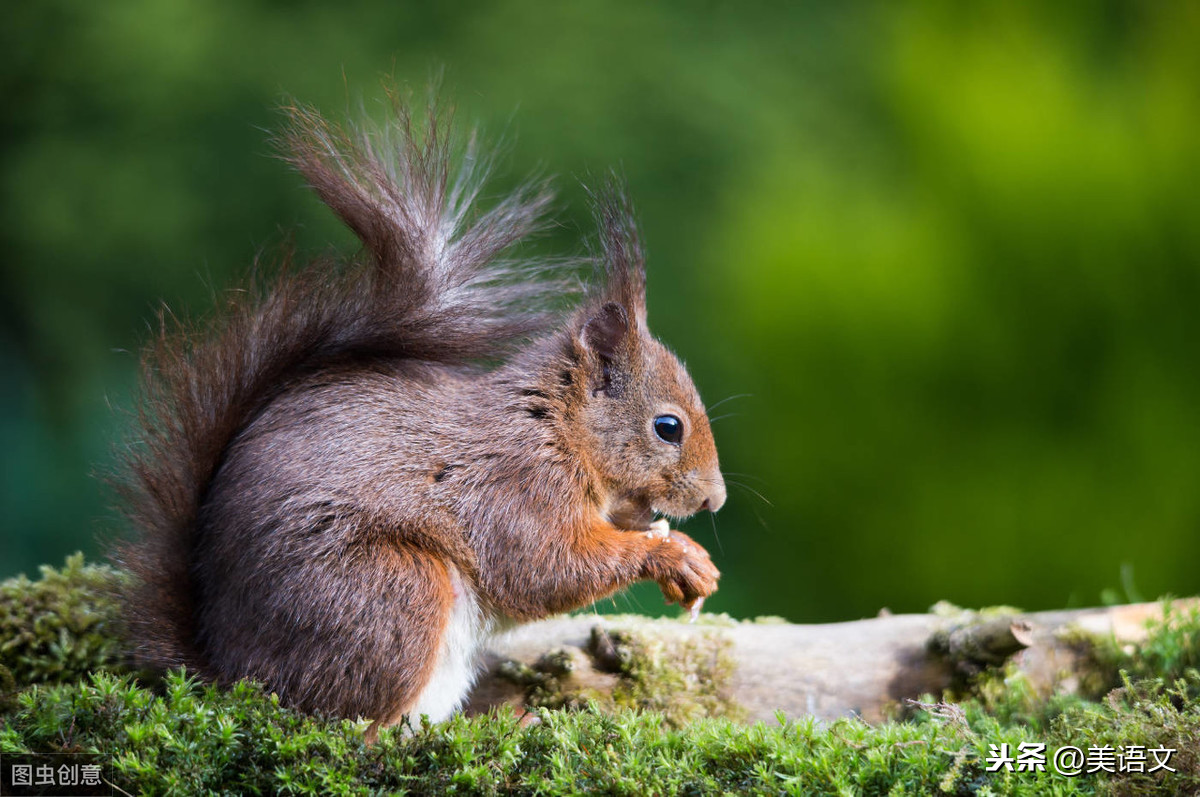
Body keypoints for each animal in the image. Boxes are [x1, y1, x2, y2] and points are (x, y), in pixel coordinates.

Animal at [114, 97, 720, 729]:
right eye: (668, 428)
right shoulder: (515, 488)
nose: (715, 500)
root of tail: (234, 673)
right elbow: (546, 570)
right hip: (393, 590)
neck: (555, 427)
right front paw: (672, 556)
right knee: (350, 724)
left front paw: (691, 555)